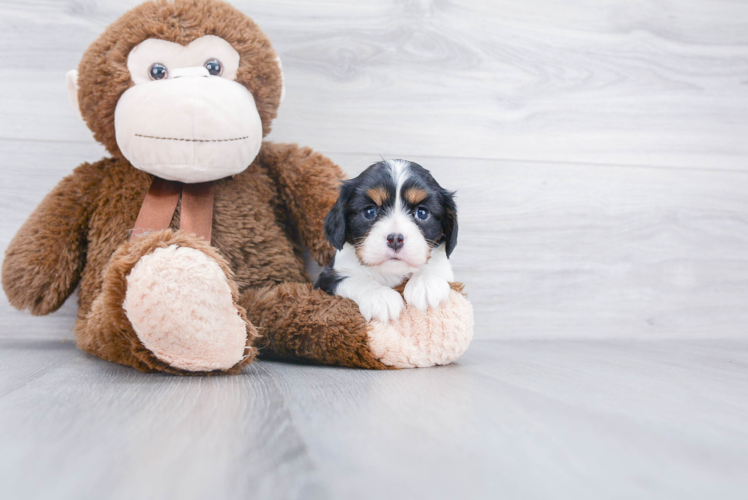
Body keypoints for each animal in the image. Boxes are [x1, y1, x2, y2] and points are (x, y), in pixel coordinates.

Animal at [314, 160, 456, 324]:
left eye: (422, 213)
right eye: (370, 212)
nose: (395, 239)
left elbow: (434, 263)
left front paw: (426, 283)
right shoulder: (327, 279)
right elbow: (355, 279)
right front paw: (380, 297)